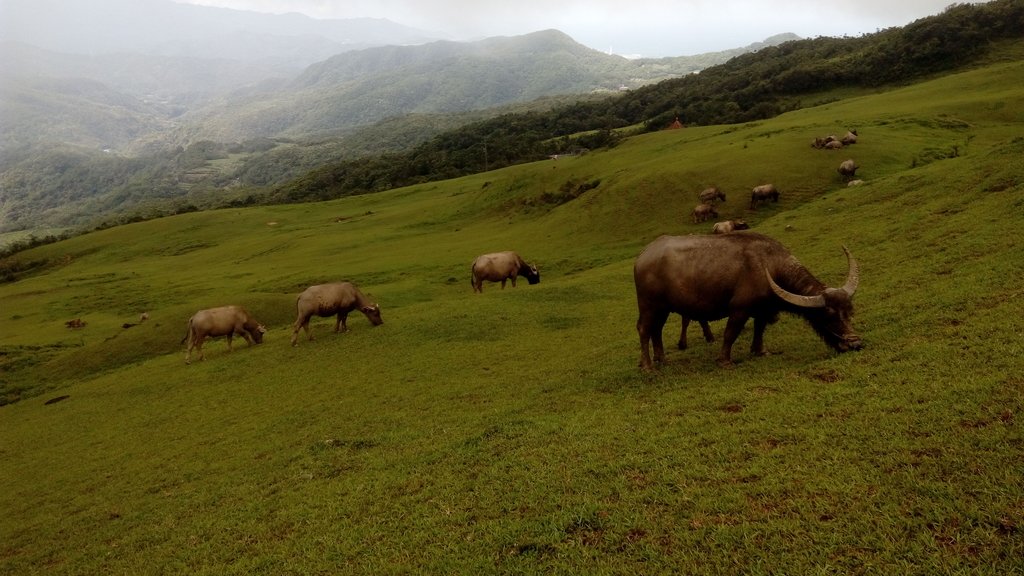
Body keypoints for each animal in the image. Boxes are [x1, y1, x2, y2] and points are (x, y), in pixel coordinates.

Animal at [630, 229, 864, 366]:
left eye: (849, 312)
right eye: (828, 316)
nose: (855, 343)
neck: (770, 266)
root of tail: (643, 256)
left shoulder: (762, 309)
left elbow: (759, 329)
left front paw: (760, 351)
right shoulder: (739, 309)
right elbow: (730, 334)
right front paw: (725, 360)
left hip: (663, 308)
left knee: (656, 330)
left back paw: (661, 359)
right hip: (648, 305)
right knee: (644, 329)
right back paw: (648, 365)